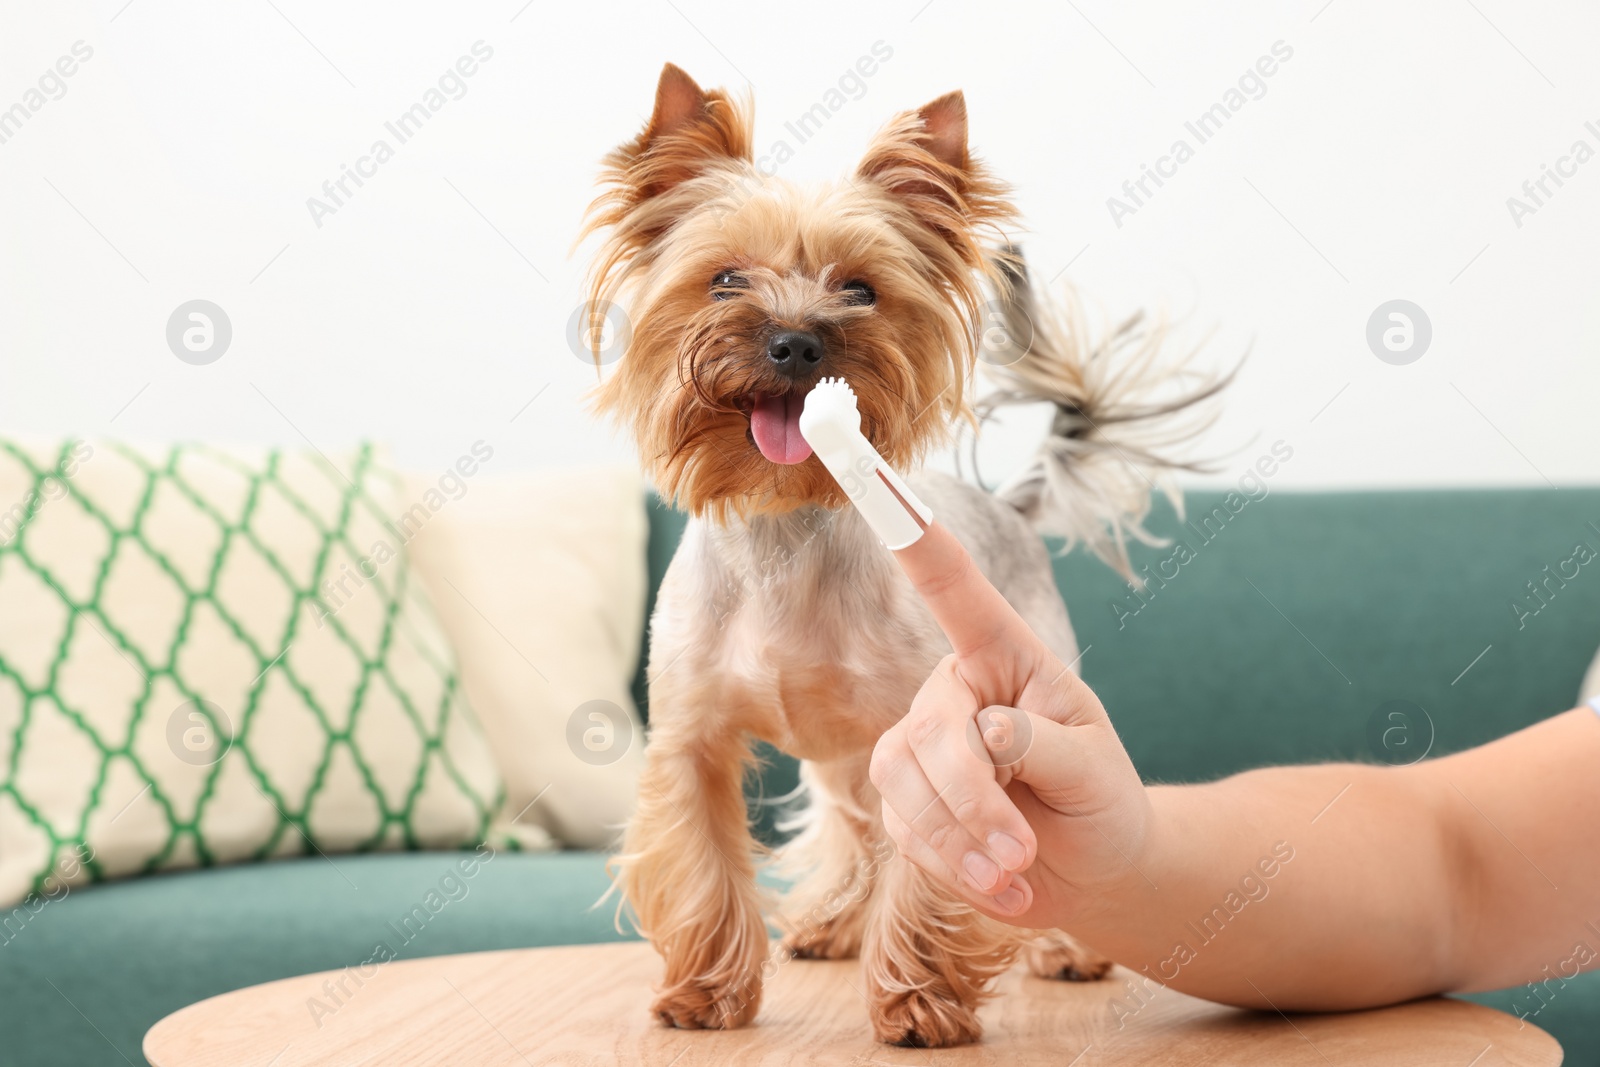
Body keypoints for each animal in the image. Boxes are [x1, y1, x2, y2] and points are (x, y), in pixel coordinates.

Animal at [588, 62, 1222, 1049]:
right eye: (724, 279)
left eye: (861, 290)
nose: (795, 340)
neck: (787, 523)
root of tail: (1008, 507)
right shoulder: (692, 737)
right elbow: (703, 859)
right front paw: (704, 992)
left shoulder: (933, 738)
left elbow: (929, 868)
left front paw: (919, 1001)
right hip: (842, 755)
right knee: (851, 823)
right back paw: (831, 928)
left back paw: (1066, 945)